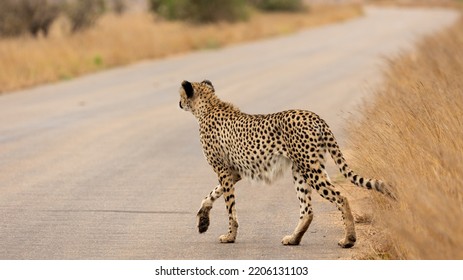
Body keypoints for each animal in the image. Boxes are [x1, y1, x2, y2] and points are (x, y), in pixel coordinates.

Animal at [179, 79, 394, 247]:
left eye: (181, 95)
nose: (179, 103)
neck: (208, 106)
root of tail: (315, 116)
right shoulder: (234, 172)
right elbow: (210, 195)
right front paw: (203, 220)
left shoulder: (223, 170)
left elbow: (230, 207)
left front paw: (230, 236)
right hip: (301, 169)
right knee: (307, 210)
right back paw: (294, 238)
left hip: (310, 169)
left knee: (340, 197)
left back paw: (348, 239)